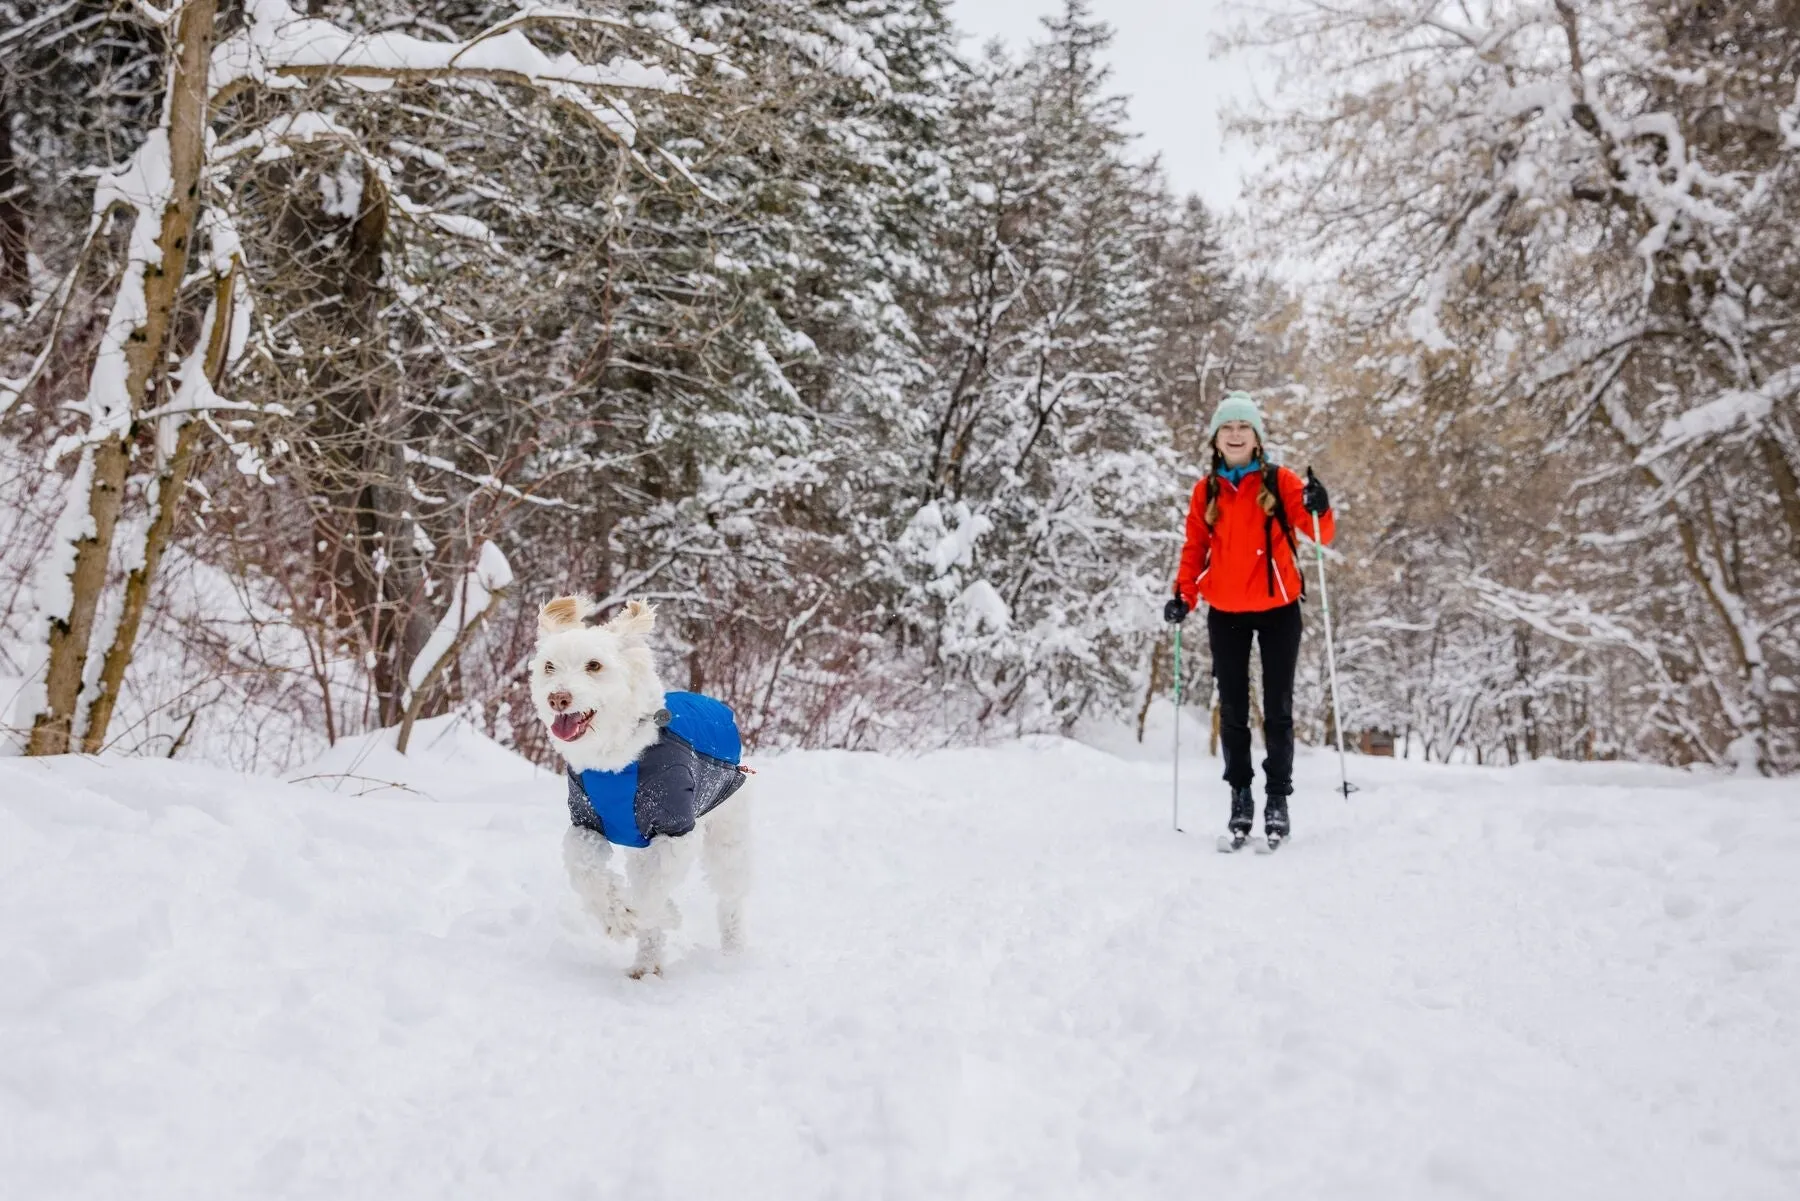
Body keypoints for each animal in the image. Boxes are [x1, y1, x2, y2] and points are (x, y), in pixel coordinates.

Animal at [532, 597, 759, 979]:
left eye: (594, 665)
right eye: (549, 666)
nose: (558, 698)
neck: (615, 761)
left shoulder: (676, 831)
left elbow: (651, 890)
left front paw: (659, 913)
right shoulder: (586, 826)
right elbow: (587, 873)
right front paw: (619, 917)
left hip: (728, 835)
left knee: (731, 898)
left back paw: (732, 951)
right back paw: (645, 964)